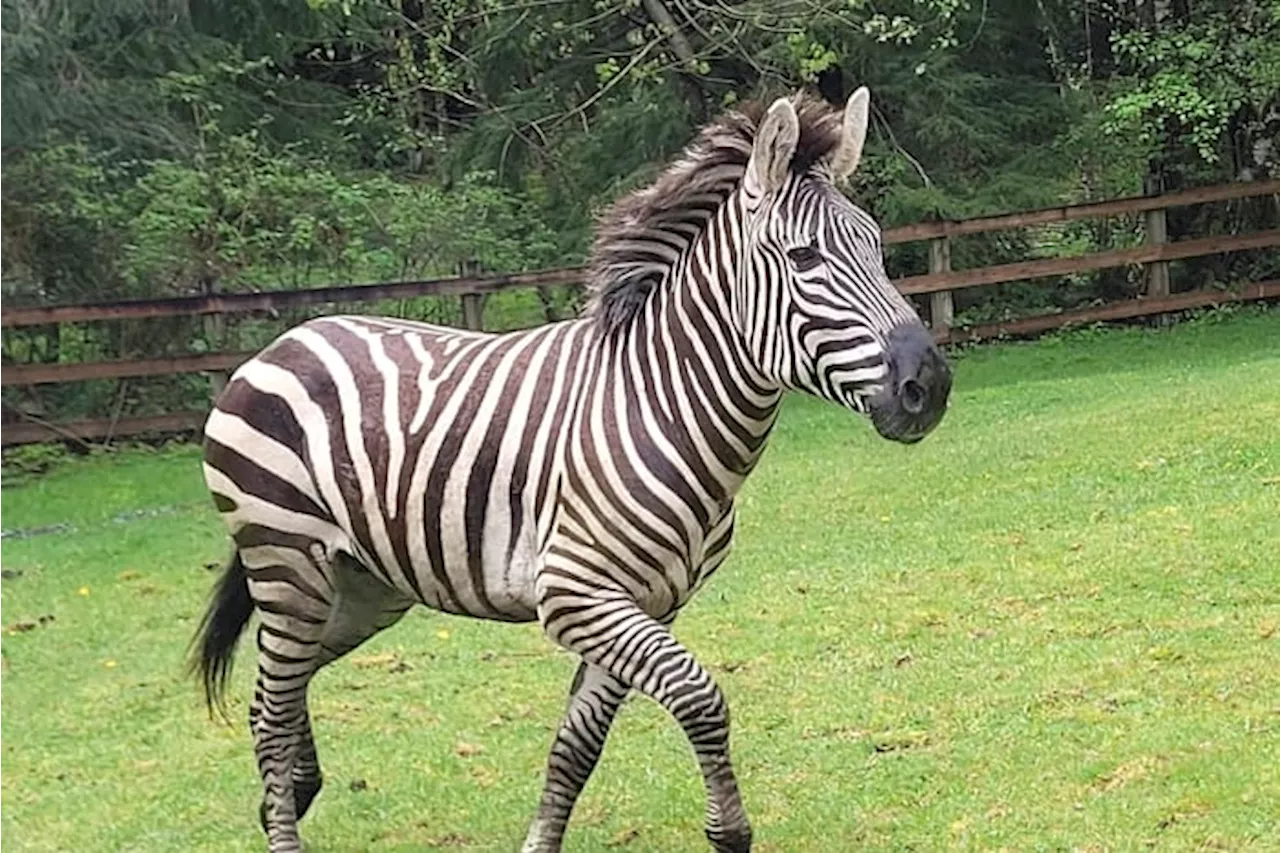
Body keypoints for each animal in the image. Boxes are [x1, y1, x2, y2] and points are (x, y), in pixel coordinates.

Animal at [189, 87, 952, 850]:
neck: (662, 406)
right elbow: (700, 695)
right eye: (804, 257)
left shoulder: (649, 602)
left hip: (362, 585)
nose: (932, 385)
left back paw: (294, 789)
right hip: (288, 562)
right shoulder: (575, 593)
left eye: (876, 246)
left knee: (277, 689)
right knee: (272, 709)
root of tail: (283, 341)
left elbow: (577, 745)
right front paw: (730, 830)